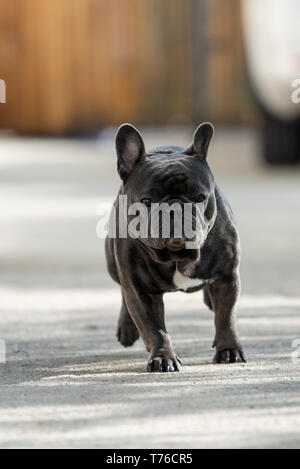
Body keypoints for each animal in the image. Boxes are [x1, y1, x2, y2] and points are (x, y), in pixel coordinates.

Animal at [105, 122, 246, 372]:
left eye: (200, 197)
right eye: (147, 201)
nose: (175, 208)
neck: (177, 255)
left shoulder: (227, 277)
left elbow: (226, 317)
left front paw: (229, 349)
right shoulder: (141, 291)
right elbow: (154, 329)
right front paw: (163, 357)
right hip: (112, 264)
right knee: (123, 290)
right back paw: (127, 328)